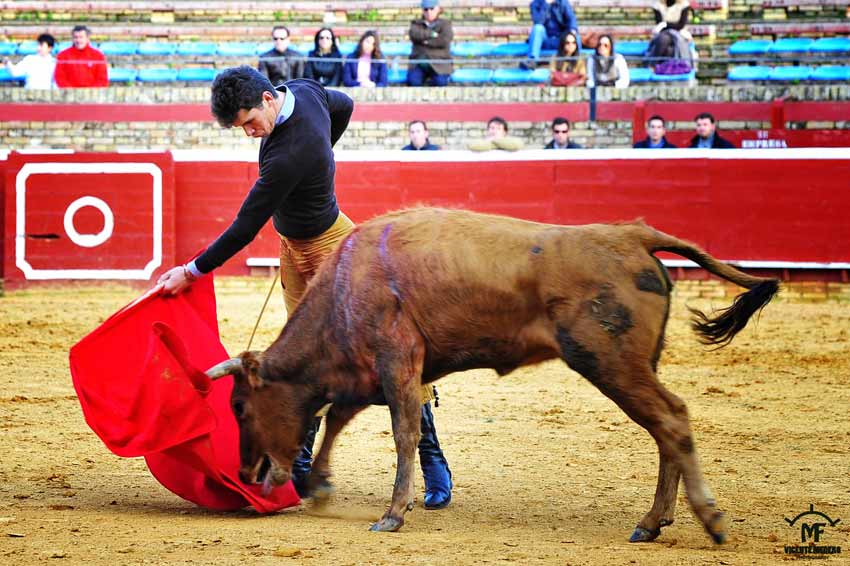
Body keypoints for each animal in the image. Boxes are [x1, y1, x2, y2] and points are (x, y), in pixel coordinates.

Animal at [204, 206, 776, 544]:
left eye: (239, 406)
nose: (246, 473)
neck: (346, 284)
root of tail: (631, 233)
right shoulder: (367, 370)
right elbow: (339, 419)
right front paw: (321, 483)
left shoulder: (396, 360)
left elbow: (401, 432)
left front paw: (392, 513)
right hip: (633, 365)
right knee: (664, 430)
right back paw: (652, 523)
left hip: (610, 362)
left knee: (671, 418)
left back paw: (709, 520)